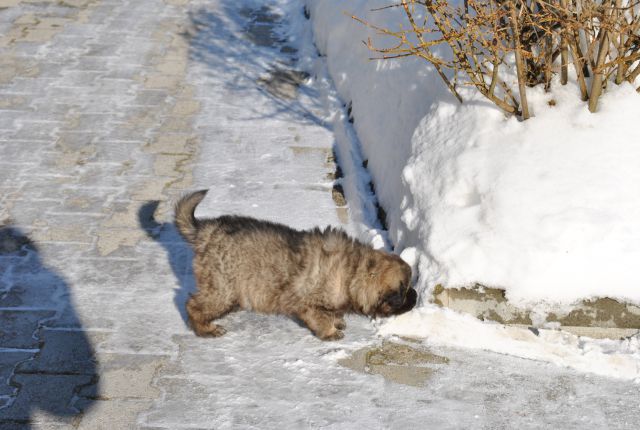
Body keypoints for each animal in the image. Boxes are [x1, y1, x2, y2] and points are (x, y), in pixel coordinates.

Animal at [172, 190, 418, 340]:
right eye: (404, 291)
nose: (416, 296)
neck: (353, 272)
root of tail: (206, 231)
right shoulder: (309, 305)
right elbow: (321, 318)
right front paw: (331, 332)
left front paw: (338, 321)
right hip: (222, 289)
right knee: (193, 305)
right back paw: (206, 329)